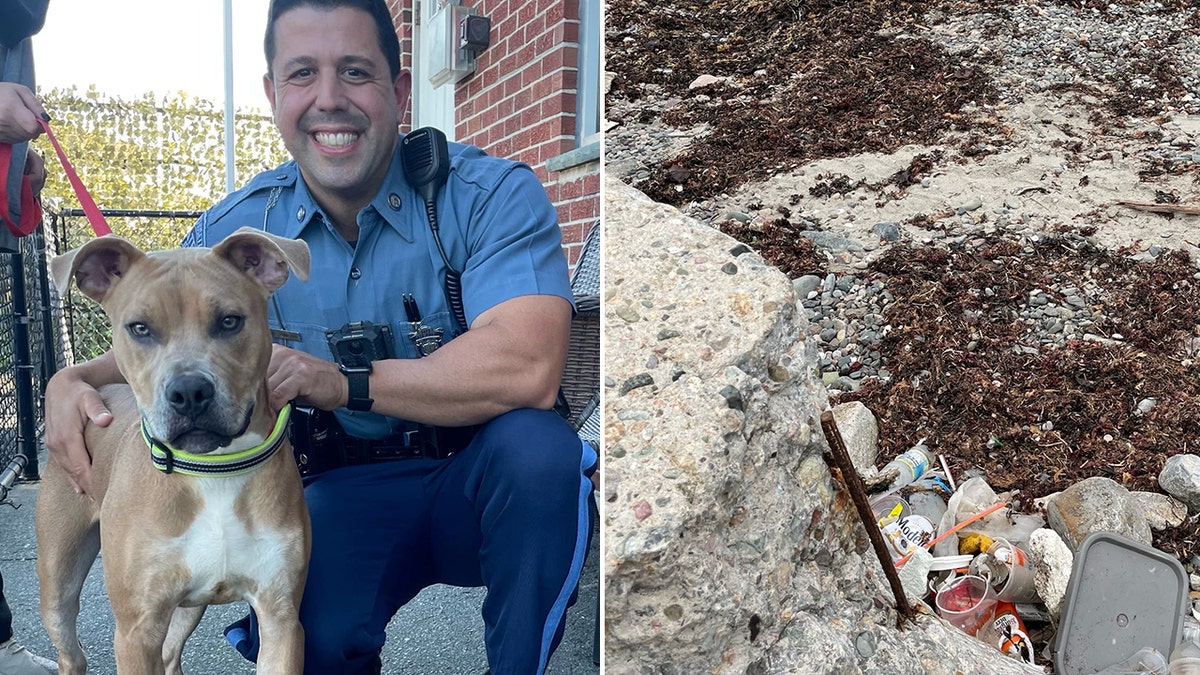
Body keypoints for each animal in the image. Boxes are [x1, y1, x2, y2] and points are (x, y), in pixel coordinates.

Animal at [41, 227, 314, 672]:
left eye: (229, 321)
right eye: (139, 328)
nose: (189, 392)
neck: (212, 470)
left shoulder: (281, 619)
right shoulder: (136, 630)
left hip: (188, 604)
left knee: (170, 653)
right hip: (57, 583)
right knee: (71, 652)